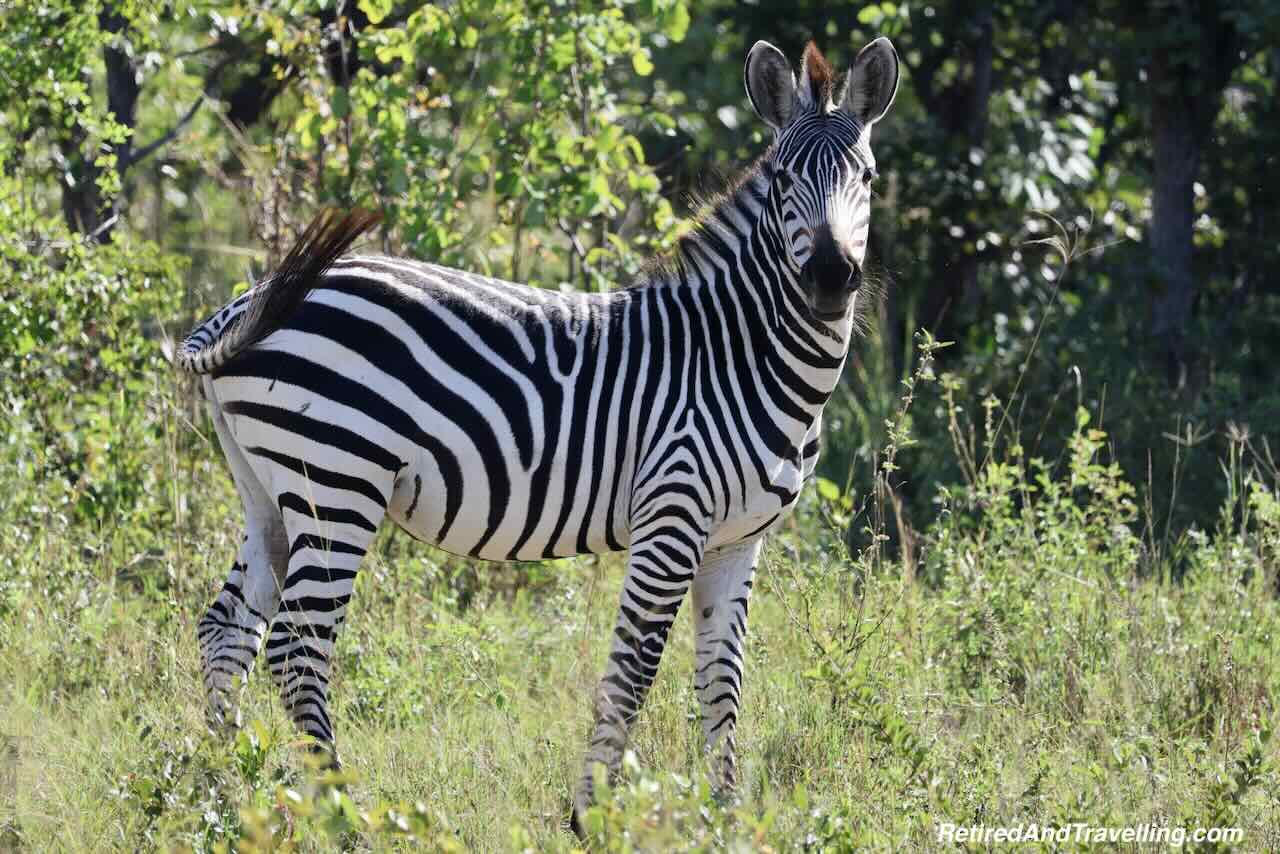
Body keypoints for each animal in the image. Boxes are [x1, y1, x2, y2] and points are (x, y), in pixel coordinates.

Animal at [180, 38, 901, 829]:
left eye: (866, 177)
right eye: (783, 182)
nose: (831, 277)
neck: (741, 352)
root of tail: (241, 306)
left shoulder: (737, 540)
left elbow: (722, 680)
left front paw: (728, 815)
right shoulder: (672, 515)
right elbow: (634, 670)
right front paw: (590, 814)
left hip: (267, 491)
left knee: (227, 630)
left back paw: (226, 792)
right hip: (337, 484)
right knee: (296, 647)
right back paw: (343, 813)